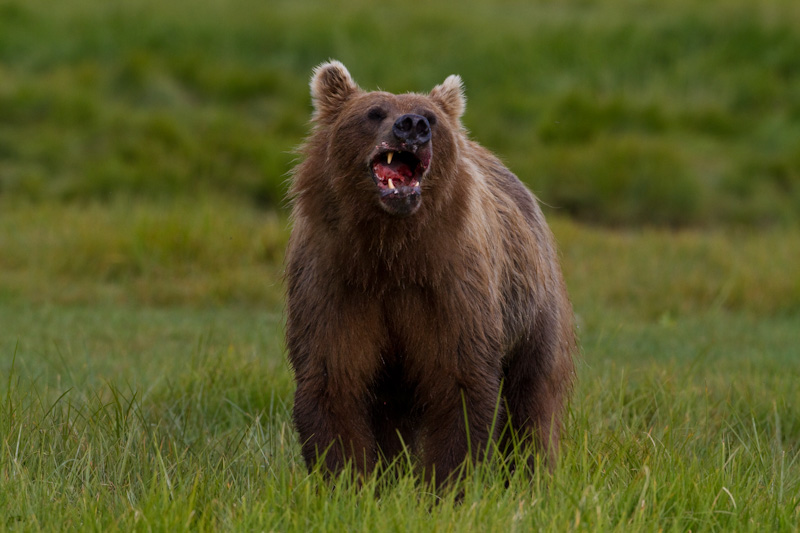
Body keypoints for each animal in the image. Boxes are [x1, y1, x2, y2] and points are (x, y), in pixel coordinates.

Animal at [288, 60, 576, 484]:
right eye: (374, 112)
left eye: (432, 118)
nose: (412, 125)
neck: (391, 251)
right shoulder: (334, 281)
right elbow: (332, 379)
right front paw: (347, 479)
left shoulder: (451, 287)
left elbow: (459, 383)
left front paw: (448, 482)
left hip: (531, 306)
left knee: (532, 395)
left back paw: (531, 474)